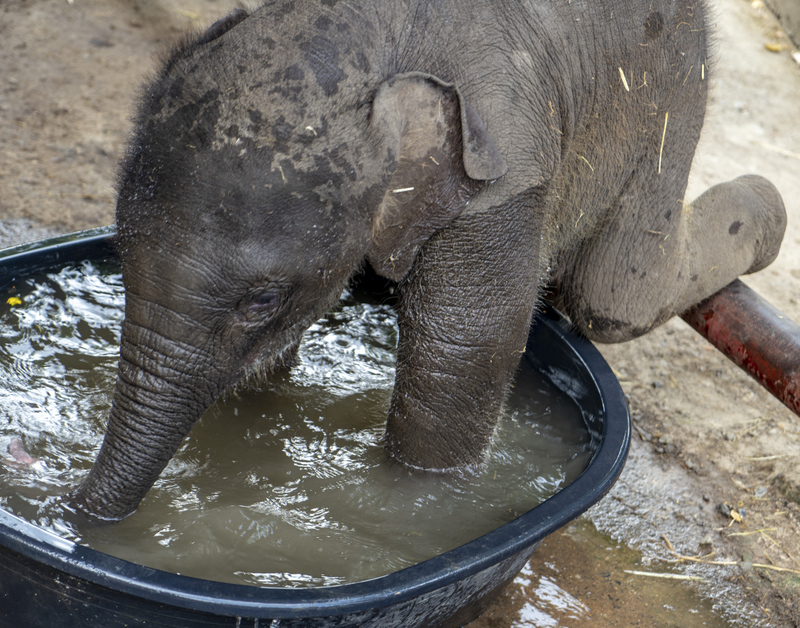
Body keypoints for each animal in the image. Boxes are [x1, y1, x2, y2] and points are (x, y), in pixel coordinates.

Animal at [69, 0, 780, 520]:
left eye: (261, 301)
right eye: (120, 255)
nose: (71, 512)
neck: (380, 33)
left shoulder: (503, 171)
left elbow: (465, 345)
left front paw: (415, 505)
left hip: (674, 80)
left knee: (613, 296)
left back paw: (767, 210)